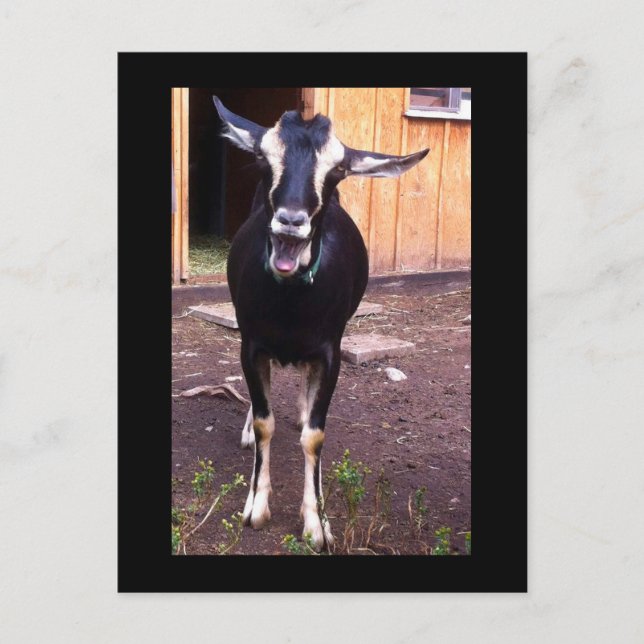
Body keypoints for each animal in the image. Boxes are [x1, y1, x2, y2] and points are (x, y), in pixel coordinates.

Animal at [212, 96, 429, 551]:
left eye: (337, 169)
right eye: (263, 157)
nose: (291, 221)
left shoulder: (330, 352)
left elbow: (314, 434)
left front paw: (317, 524)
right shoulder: (251, 345)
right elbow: (265, 422)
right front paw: (256, 507)